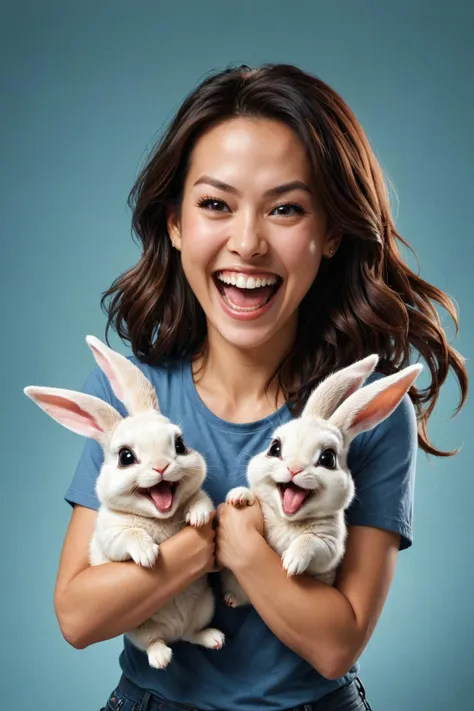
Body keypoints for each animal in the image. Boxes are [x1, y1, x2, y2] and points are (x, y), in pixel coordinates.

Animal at [25, 336, 225, 672]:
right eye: (126, 457)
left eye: (180, 445)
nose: (161, 467)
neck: (160, 519)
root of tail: (176, 629)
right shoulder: (112, 538)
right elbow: (130, 536)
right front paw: (148, 555)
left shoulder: (198, 495)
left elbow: (199, 499)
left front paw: (197, 518)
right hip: (137, 629)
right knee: (155, 643)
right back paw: (161, 658)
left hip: (205, 607)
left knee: (192, 635)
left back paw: (214, 638)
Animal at [221, 356, 422, 608]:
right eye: (274, 448)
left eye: (328, 459)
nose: (294, 469)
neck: (288, 521)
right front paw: (239, 497)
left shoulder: (330, 548)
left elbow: (309, 542)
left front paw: (292, 562)